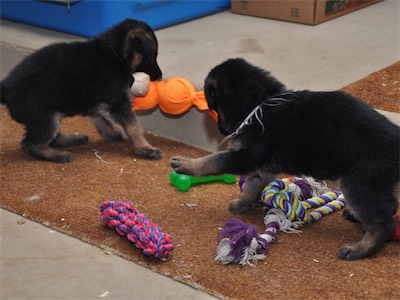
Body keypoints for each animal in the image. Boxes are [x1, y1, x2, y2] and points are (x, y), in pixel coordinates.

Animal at [1, 18, 162, 164]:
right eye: (151, 56)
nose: (160, 76)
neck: (115, 53)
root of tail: (7, 88)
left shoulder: (98, 101)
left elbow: (102, 118)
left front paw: (114, 133)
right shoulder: (119, 102)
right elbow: (134, 127)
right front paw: (146, 148)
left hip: (54, 111)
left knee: (51, 137)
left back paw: (71, 139)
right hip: (44, 116)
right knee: (31, 143)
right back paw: (57, 155)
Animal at [170, 58, 398, 260]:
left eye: (215, 107)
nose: (222, 130)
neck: (260, 103)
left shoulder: (246, 156)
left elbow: (213, 160)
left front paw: (187, 164)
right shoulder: (262, 166)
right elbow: (253, 185)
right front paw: (244, 202)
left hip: (358, 183)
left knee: (383, 222)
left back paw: (360, 248)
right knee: (389, 207)